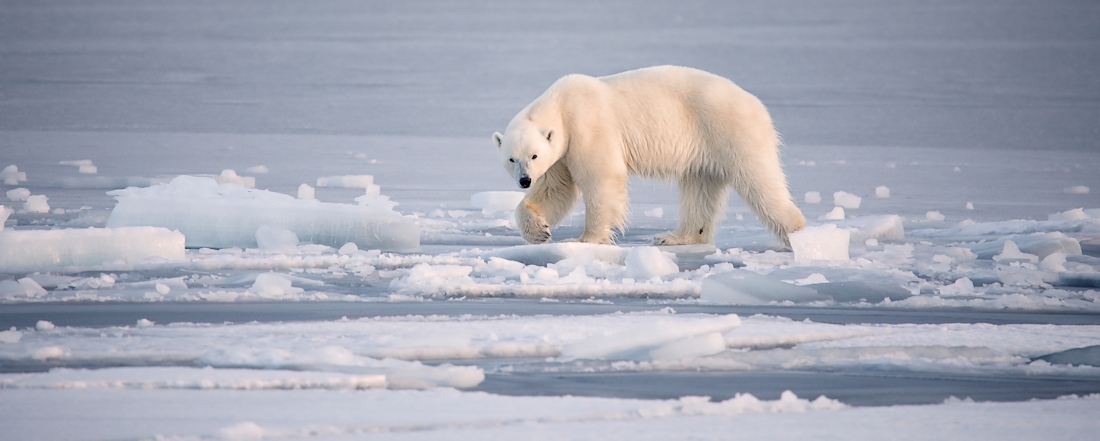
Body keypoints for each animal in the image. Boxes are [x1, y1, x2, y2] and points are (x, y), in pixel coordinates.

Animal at [492, 65, 805, 247]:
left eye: (533, 156)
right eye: (512, 159)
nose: (524, 181)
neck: (561, 103)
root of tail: (758, 105)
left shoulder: (586, 127)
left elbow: (602, 178)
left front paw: (585, 239)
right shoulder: (562, 154)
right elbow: (557, 190)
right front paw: (539, 230)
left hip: (731, 131)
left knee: (759, 181)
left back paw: (796, 234)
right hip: (704, 148)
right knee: (700, 189)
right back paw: (676, 237)